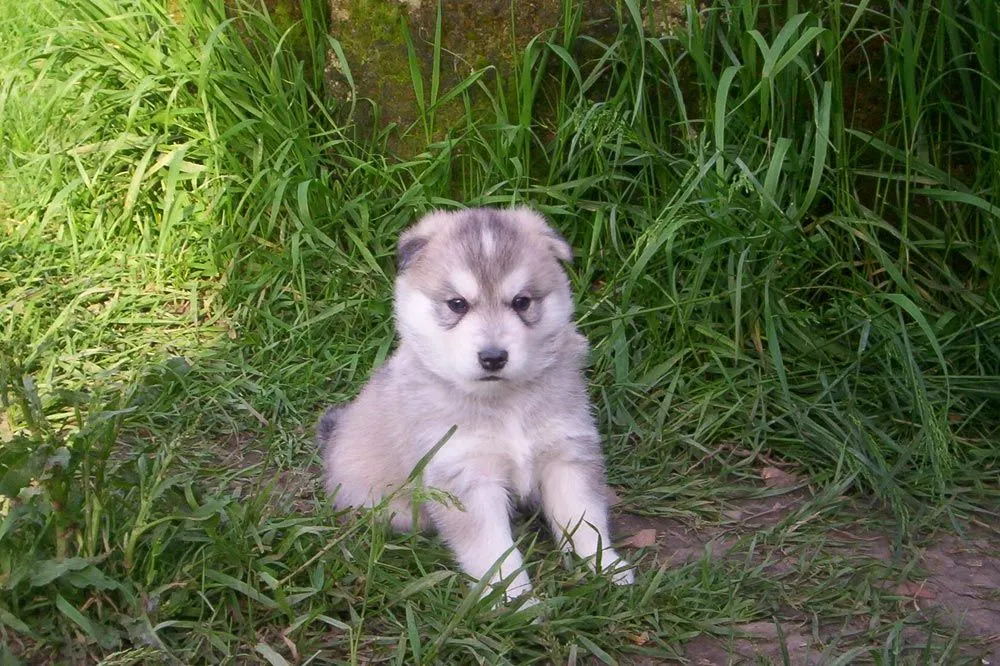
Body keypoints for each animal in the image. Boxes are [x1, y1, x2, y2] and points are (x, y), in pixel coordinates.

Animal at [316, 206, 636, 596]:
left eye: (521, 302)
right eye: (457, 304)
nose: (493, 358)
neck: (504, 401)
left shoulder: (566, 454)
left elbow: (585, 520)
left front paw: (606, 567)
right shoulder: (465, 477)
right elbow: (494, 552)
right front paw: (513, 599)